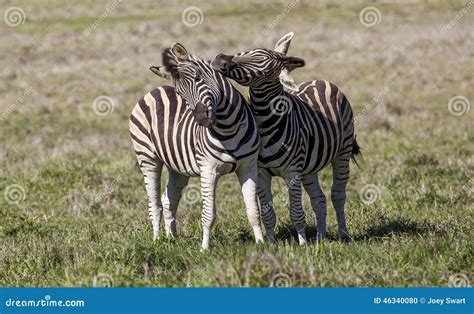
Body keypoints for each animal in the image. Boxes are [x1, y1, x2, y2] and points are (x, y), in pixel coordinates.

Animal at [129, 43, 262, 250]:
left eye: (199, 78)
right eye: (180, 93)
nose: (201, 118)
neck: (229, 126)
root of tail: (155, 89)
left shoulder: (248, 167)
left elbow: (253, 210)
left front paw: (264, 243)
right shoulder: (208, 170)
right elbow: (209, 214)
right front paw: (204, 249)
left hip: (177, 167)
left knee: (169, 200)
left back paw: (171, 239)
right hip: (147, 157)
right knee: (155, 204)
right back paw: (157, 240)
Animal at [211, 32, 360, 243]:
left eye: (263, 69)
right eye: (245, 52)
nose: (219, 59)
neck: (265, 123)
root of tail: (321, 81)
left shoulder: (292, 172)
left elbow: (296, 212)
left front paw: (303, 243)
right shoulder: (262, 172)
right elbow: (268, 213)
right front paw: (272, 243)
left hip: (342, 152)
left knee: (338, 195)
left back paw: (344, 236)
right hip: (308, 168)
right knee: (319, 198)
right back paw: (321, 238)